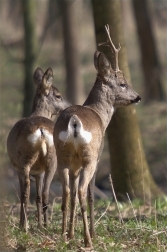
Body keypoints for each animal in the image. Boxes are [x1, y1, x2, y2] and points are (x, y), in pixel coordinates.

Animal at [6, 67, 69, 230]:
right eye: (58, 96)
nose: (69, 106)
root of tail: (41, 131)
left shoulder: (18, 168)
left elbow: (30, 194)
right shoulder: (38, 171)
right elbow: (38, 196)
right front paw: (38, 222)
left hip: (25, 160)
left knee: (26, 193)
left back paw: (26, 226)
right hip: (51, 161)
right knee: (43, 193)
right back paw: (42, 225)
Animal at [53, 25, 141, 248]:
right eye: (123, 83)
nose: (138, 97)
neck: (99, 114)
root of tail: (74, 122)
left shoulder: (74, 165)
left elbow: (72, 195)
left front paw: (71, 233)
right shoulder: (98, 156)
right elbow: (92, 195)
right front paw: (91, 232)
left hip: (63, 156)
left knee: (67, 192)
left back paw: (63, 235)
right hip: (90, 156)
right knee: (83, 192)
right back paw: (88, 239)